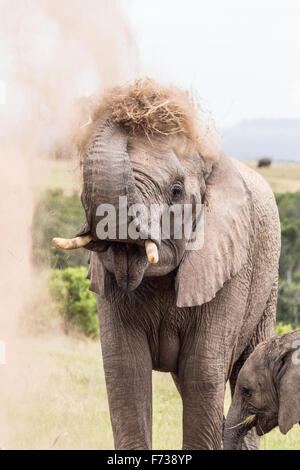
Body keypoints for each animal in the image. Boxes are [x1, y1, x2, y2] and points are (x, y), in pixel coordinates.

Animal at [54, 81, 282, 452]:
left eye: (176, 191)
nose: (140, 96)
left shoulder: (230, 269)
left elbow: (201, 373)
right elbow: (125, 371)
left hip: (267, 285)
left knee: (243, 370)